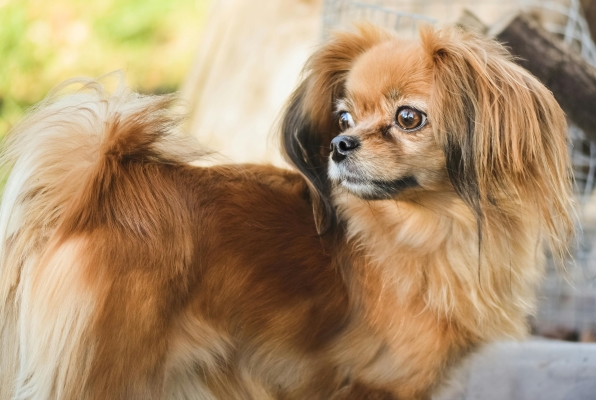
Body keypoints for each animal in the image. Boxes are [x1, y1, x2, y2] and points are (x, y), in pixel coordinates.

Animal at [1, 25, 576, 400]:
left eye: (409, 118)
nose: (341, 144)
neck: (422, 227)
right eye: (343, 117)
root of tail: (99, 193)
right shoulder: (379, 385)